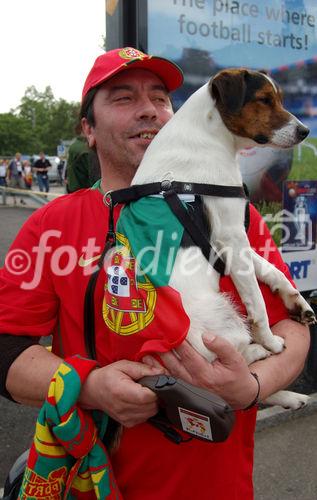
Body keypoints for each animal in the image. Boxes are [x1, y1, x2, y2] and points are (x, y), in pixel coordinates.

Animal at [118, 67, 314, 410]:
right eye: (264, 99)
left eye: (279, 98)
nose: (305, 131)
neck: (211, 134)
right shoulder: (232, 236)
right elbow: (258, 303)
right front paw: (271, 342)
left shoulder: (233, 241)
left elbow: (272, 271)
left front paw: (296, 301)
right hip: (224, 318)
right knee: (235, 359)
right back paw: (259, 351)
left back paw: (293, 397)